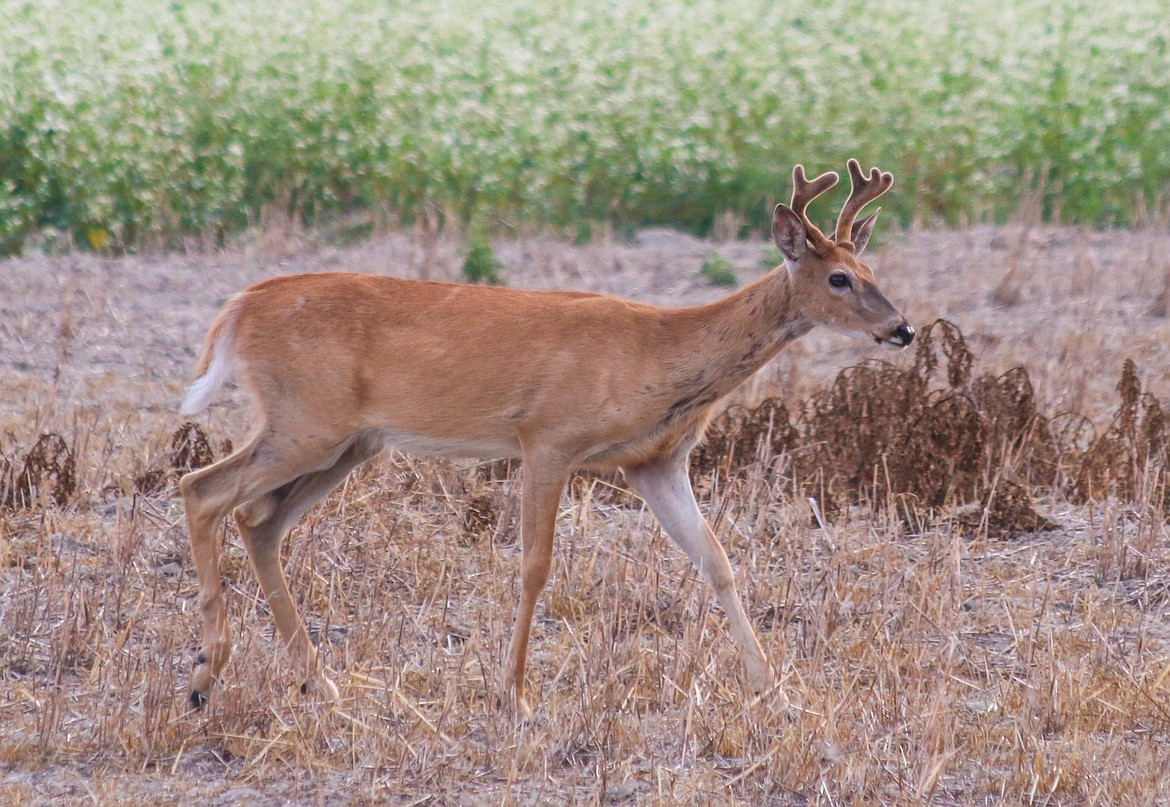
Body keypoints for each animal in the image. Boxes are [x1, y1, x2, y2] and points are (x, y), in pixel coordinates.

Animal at [175, 159, 912, 715]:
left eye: (875, 274)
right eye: (839, 278)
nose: (902, 328)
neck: (656, 354)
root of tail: (237, 307)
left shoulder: (656, 462)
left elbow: (718, 561)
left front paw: (772, 690)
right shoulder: (547, 438)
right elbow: (534, 566)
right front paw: (515, 695)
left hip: (347, 442)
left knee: (258, 520)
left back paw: (315, 681)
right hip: (306, 421)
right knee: (203, 487)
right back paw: (206, 673)